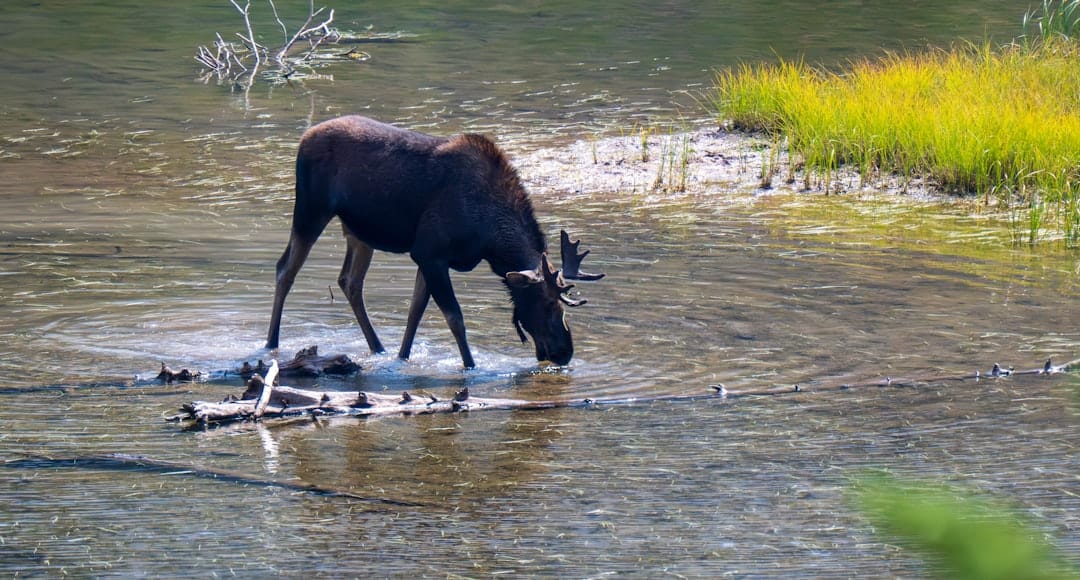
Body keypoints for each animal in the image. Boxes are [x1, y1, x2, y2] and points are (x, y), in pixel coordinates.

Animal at [265, 116, 604, 369]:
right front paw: (470, 366)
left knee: (350, 281)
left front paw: (402, 358)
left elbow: (415, 311)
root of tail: (304, 137)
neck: (490, 239)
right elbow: (455, 318)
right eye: (548, 303)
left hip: (360, 231)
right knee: (285, 269)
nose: (565, 352)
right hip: (310, 209)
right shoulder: (429, 253)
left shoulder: (430, 257)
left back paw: (378, 347)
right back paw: (271, 344)